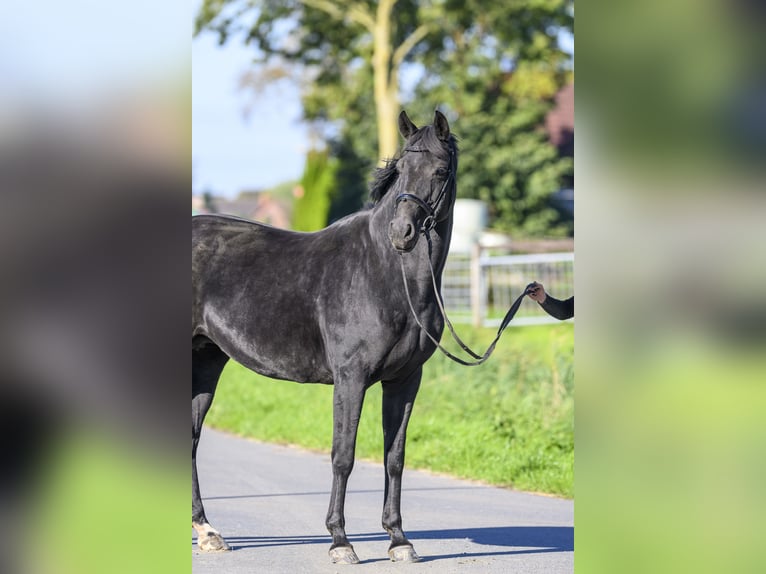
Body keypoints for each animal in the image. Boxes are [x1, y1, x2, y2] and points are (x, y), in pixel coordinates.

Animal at [195, 110, 462, 564]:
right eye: (400, 170)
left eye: (440, 170)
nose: (402, 233)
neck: (385, 272)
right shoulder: (350, 378)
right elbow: (343, 455)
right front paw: (340, 541)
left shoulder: (405, 380)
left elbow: (395, 457)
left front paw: (399, 540)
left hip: (206, 361)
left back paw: (207, 531)